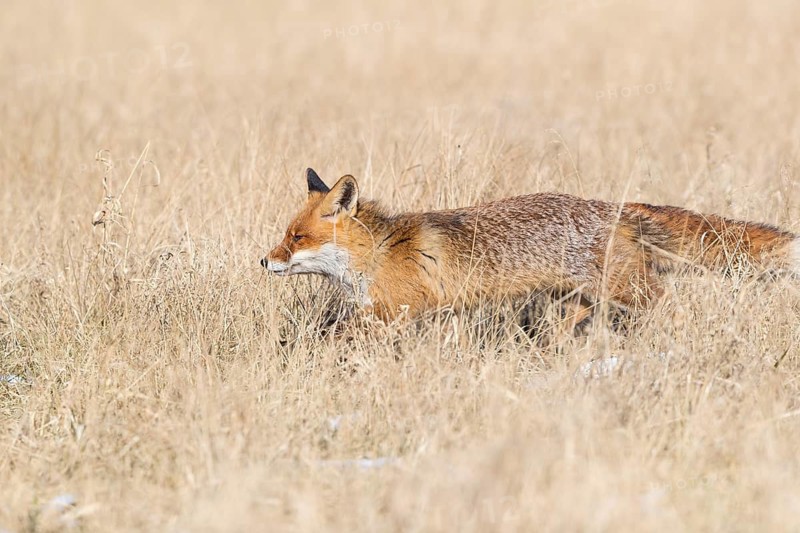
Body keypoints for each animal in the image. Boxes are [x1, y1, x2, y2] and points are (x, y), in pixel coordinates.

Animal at [262, 168, 799, 324]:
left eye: (297, 238)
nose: (264, 259)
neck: (377, 254)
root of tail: (614, 206)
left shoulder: (395, 312)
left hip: (625, 291)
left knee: (667, 303)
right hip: (575, 302)